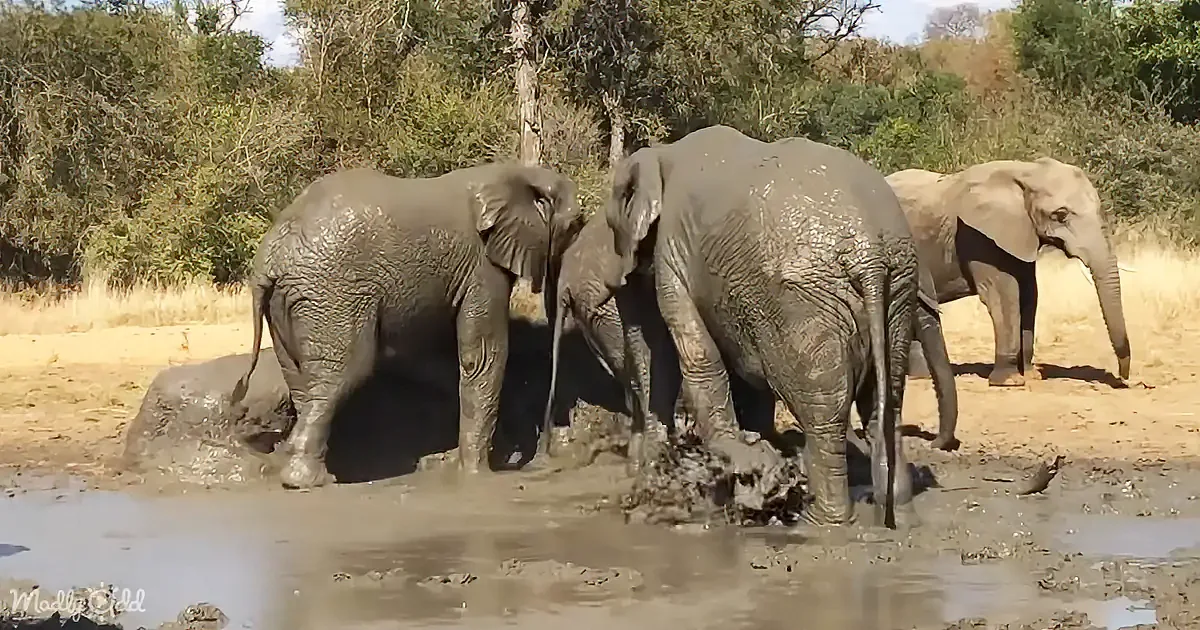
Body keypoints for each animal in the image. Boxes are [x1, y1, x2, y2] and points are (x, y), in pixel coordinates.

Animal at [231, 163, 582, 489]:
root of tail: (271, 254)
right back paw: (310, 481)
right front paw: (477, 474)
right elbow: (482, 355)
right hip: (332, 294)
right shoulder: (482, 267)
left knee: (302, 380)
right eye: (575, 226)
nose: (545, 458)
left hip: (288, 303)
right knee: (344, 373)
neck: (514, 172)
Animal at [599, 125, 921, 529]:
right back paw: (896, 516)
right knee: (886, 404)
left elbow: (694, 352)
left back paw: (820, 519)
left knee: (823, 413)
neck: (662, 155)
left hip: (802, 302)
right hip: (898, 291)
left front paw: (738, 462)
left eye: (612, 226)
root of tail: (870, 255)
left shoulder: (674, 249)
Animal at [886, 157, 1130, 387]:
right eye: (1060, 215)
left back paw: (921, 376)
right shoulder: (979, 236)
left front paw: (1032, 376)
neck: (1027, 171)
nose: (1122, 379)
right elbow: (1003, 294)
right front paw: (1009, 381)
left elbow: (1030, 294)